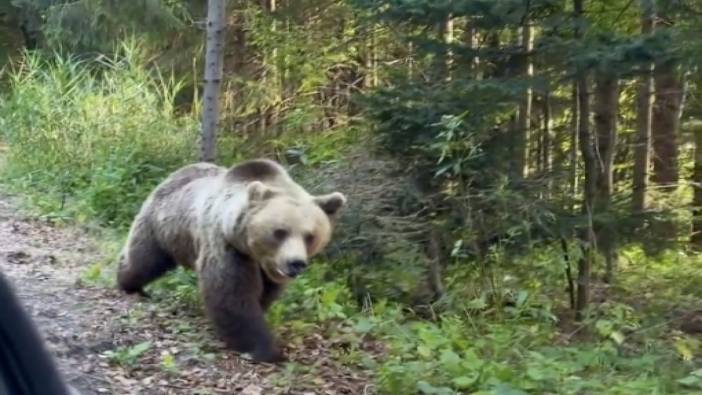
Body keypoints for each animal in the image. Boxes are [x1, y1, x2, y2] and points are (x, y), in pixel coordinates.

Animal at [117, 159, 348, 364]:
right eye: (280, 232)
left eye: (310, 236)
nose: (295, 263)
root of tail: (177, 173)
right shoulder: (227, 245)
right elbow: (231, 295)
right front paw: (266, 350)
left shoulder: (266, 268)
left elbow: (264, 293)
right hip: (162, 224)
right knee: (144, 257)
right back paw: (128, 284)